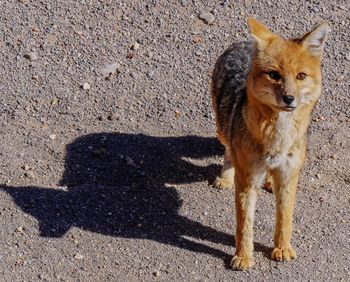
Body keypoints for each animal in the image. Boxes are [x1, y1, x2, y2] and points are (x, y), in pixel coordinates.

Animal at [211, 18, 330, 270]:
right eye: (275, 75)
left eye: (301, 76)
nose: (289, 99)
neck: (278, 139)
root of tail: (242, 43)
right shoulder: (247, 179)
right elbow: (244, 223)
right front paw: (243, 256)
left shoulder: (288, 176)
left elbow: (285, 218)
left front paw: (282, 248)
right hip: (222, 131)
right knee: (228, 150)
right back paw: (225, 177)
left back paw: (267, 181)